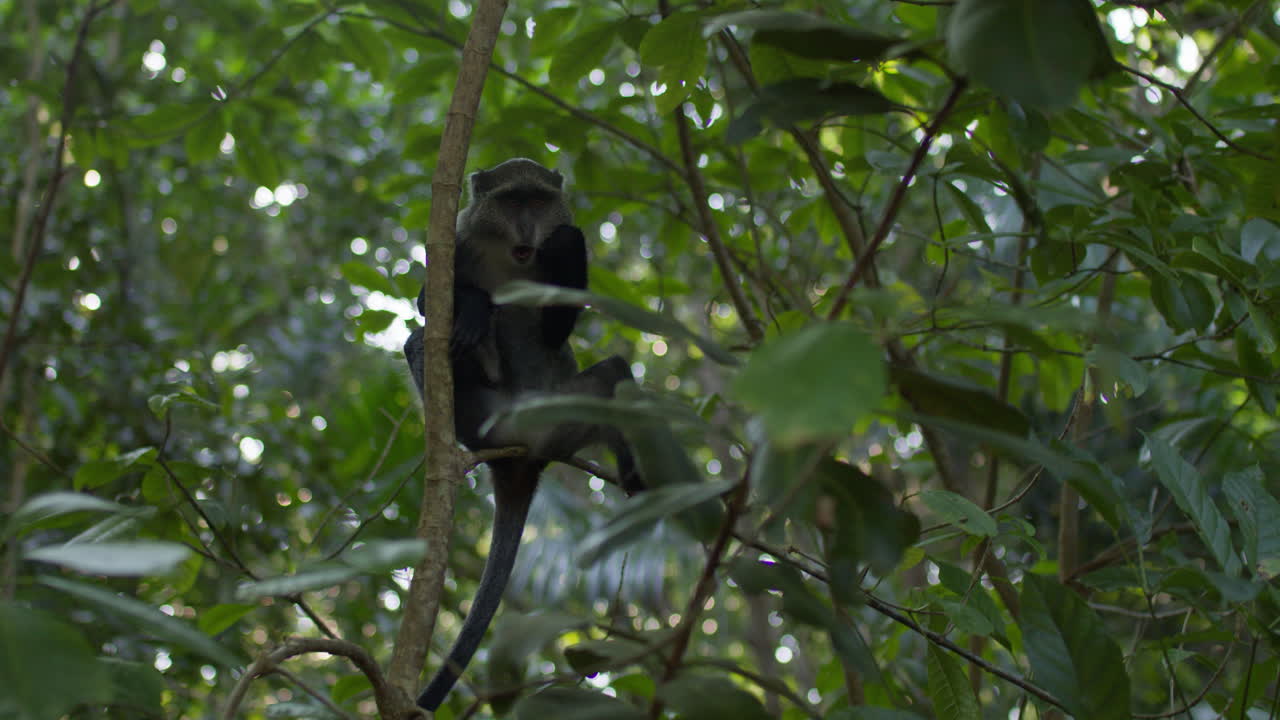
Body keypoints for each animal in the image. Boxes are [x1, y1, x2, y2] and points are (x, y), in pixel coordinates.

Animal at [404, 158, 643, 712]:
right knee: (422, 340)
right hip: (489, 415)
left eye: (538, 202)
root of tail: (518, 457)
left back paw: (634, 475)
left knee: (614, 372)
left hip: (563, 415)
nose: (530, 231)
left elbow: (559, 329)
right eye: (513, 201)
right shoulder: (456, 243)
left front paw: (567, 243)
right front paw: (470, 306)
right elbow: (429, 305)